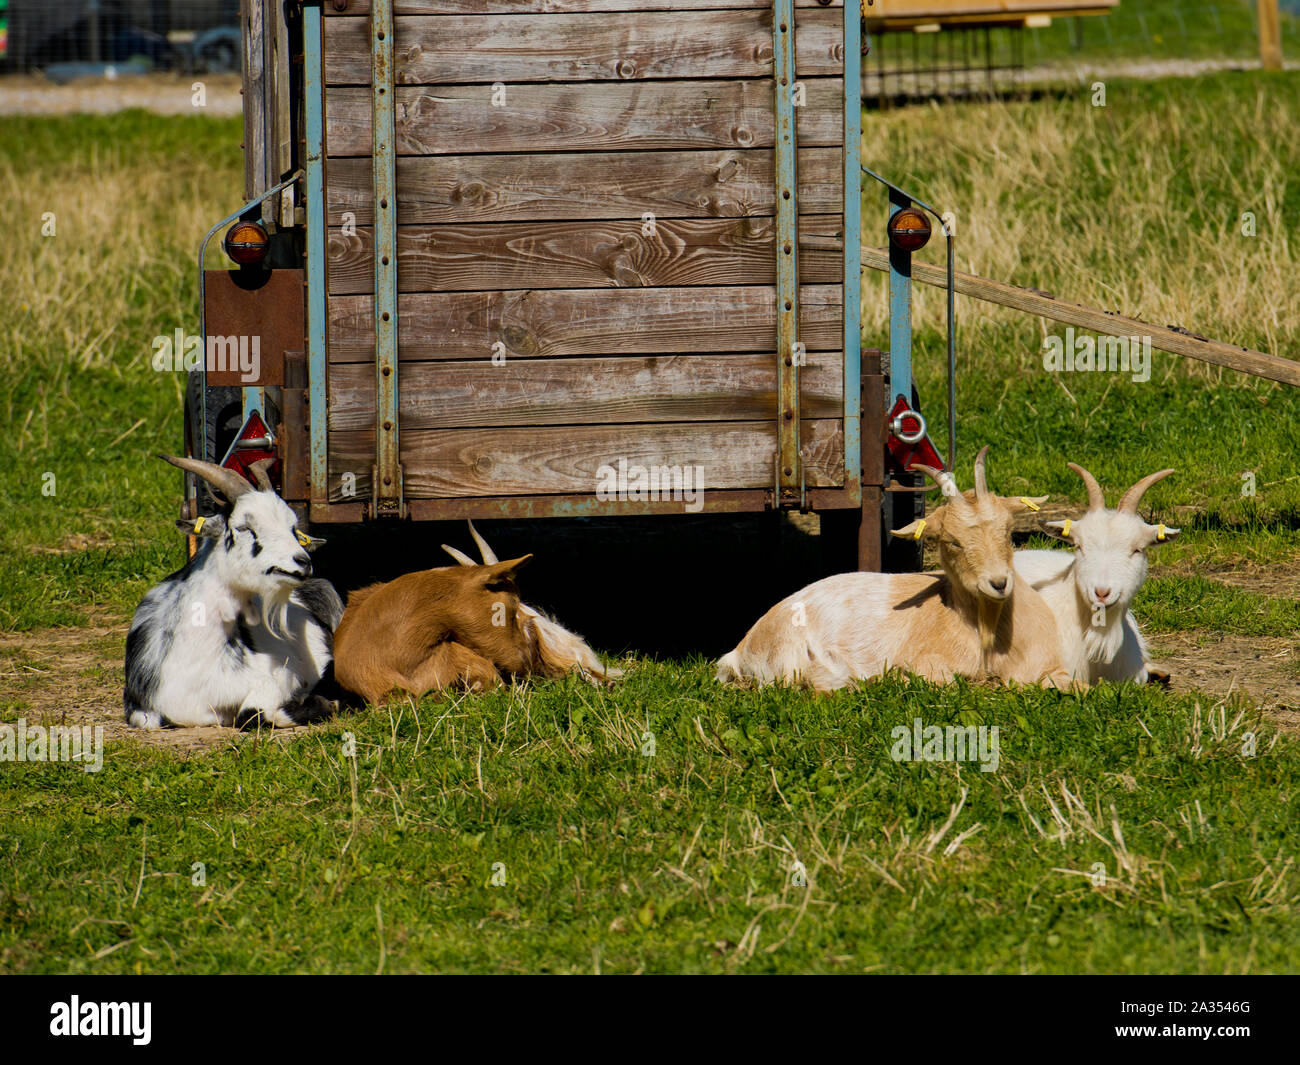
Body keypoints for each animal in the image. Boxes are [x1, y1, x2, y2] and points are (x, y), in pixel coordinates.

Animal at [124, 456, 343, 729]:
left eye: (293, 528)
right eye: (244, 527)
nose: (302, 561)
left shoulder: (279, 676)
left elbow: (253, 711)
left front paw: (324, 702)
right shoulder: (142, 712)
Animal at [715, 447, 1076, 692]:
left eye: (1007, 531)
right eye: (952, 542)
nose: (999, 583)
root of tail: (740, 648)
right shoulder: (927, 662)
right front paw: (897, 677)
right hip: (790, 655)